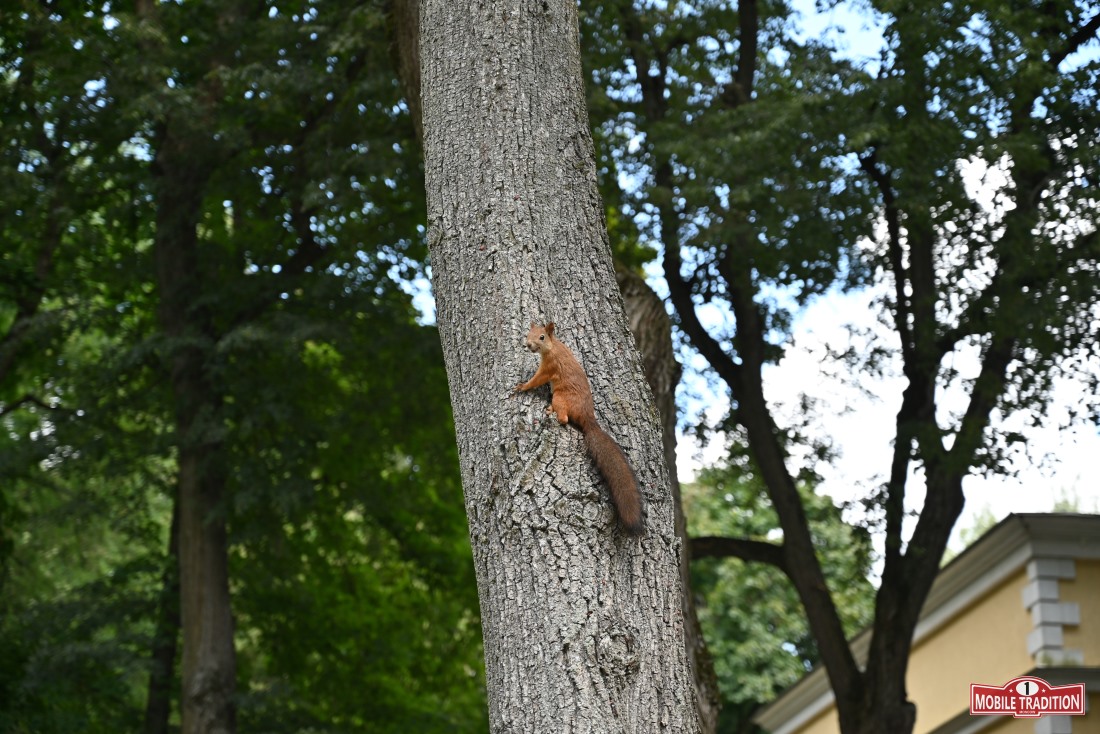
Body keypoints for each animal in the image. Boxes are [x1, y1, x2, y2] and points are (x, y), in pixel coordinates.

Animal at [514, 322, 645, 536]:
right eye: (528, 333)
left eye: (542, 337)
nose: (528, 345)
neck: (553, 347)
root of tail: (588, 418)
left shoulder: (549, 367)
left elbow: (537, 379)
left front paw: (522, 386)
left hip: (560, 397)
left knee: (564, 418)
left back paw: (552, 411)